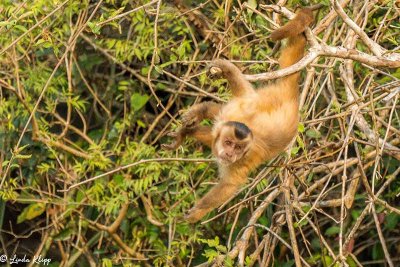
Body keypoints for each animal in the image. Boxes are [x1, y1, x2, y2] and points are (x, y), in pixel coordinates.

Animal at [164, 8, 314, 223]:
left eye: (237, 148)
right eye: (229, 144)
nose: (230, 153)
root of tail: (290, 96)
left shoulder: (242, 158)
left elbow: (229, 185)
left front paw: (198, 211)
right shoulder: (230, 128)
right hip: (258, 100)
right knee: (236, 97)